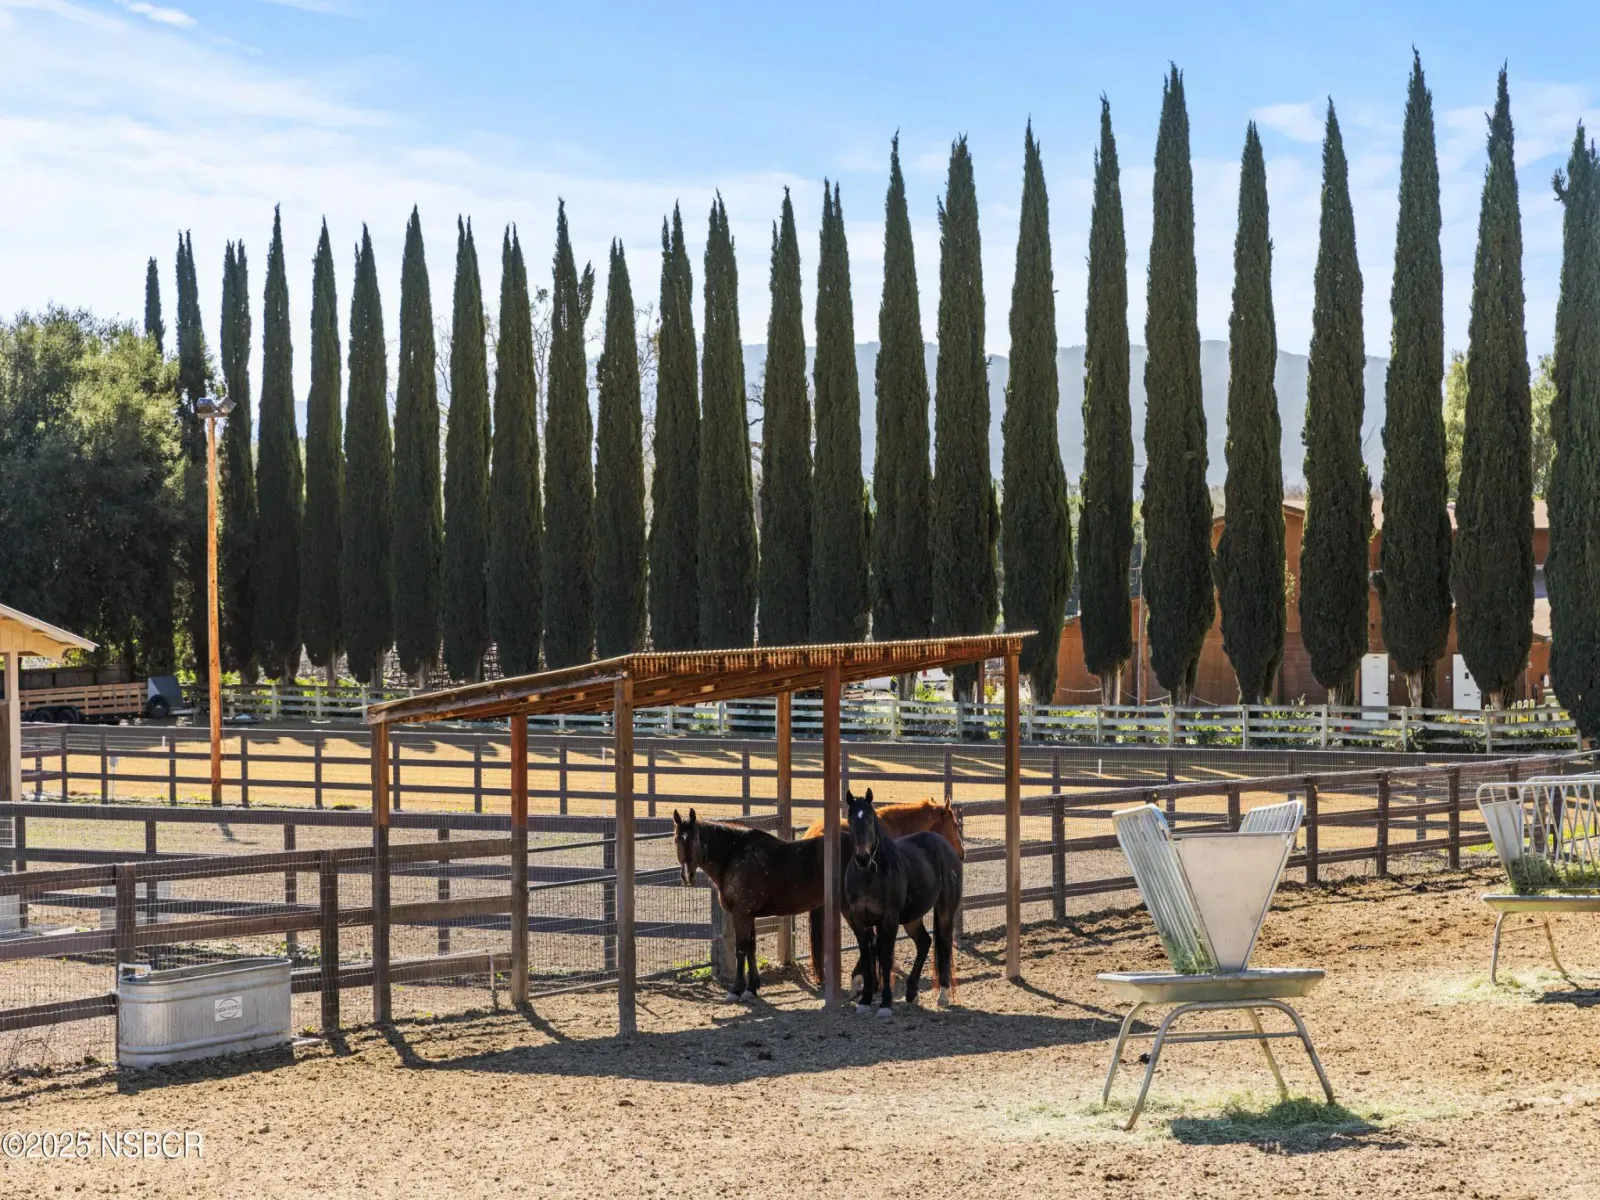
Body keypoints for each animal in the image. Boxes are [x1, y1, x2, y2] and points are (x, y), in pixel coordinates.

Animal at [672, 808, 832, 1001]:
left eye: (695, 839)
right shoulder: (750, 915)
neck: (734, 855)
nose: (687, 875)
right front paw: (752, 987)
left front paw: (736, 990)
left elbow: (741, 949)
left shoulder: (741, 913)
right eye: (676, 839)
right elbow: (751, 948)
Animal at [842, 788, 963, 1016]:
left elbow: (885, 957)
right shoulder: (861, 922)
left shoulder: (888, 921)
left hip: (945, 911)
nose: (862, 857)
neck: (870, 875)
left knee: (944, 943)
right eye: (851, 820)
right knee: (925, 942)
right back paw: (911, 992)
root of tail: (944, 847)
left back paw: (943, 995)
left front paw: (885, 1003)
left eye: (870, 819)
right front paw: (865, 999)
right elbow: (868, 954)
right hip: (912, 918)